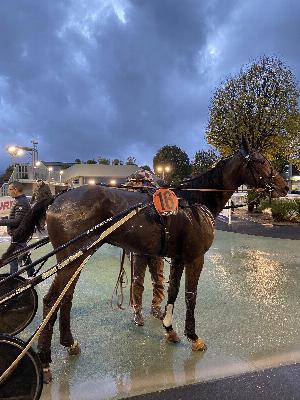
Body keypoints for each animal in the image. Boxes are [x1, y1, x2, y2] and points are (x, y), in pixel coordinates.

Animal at [37, 139, 288, 380]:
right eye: (260, 160)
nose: (284, 186)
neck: (194, 202)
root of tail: (59, 197)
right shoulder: (195, 258)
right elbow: (190, 296)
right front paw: (193, 336)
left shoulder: (178, 258)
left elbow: (173, 292)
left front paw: (169, 329)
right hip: (72, 257)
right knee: (51, 301)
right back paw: (45, 361)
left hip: (78, 258)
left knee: (65, 298)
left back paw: (69, 343)